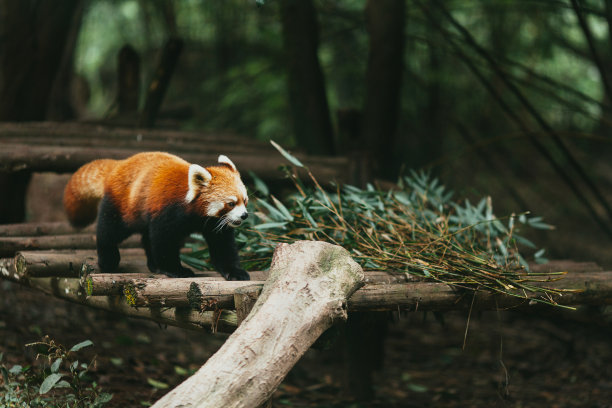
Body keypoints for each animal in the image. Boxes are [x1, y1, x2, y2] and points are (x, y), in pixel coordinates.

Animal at [63, 151, 250, 278]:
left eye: (245, 200)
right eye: (231, 203)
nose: (244, 215)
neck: (196, 214)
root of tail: (120, 165)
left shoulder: (214, 223)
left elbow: (223, 246)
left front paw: (235, 271)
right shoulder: (168, 211)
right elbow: (164, 240)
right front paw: (176, 270)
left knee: (146, 236)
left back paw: (153, 265)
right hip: (123, 206)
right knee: (110, 230)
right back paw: (108, 260)